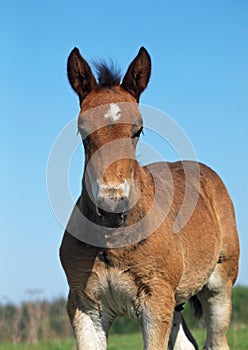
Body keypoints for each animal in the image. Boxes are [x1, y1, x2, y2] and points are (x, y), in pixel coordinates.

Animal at [59, 47, 239, 350]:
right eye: (83, 131)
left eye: (138, 130)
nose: (112, 206)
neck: (111, 240)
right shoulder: (84, 306)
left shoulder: (156, 301)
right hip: (175, 303)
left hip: (218, 286)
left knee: (216, 340)